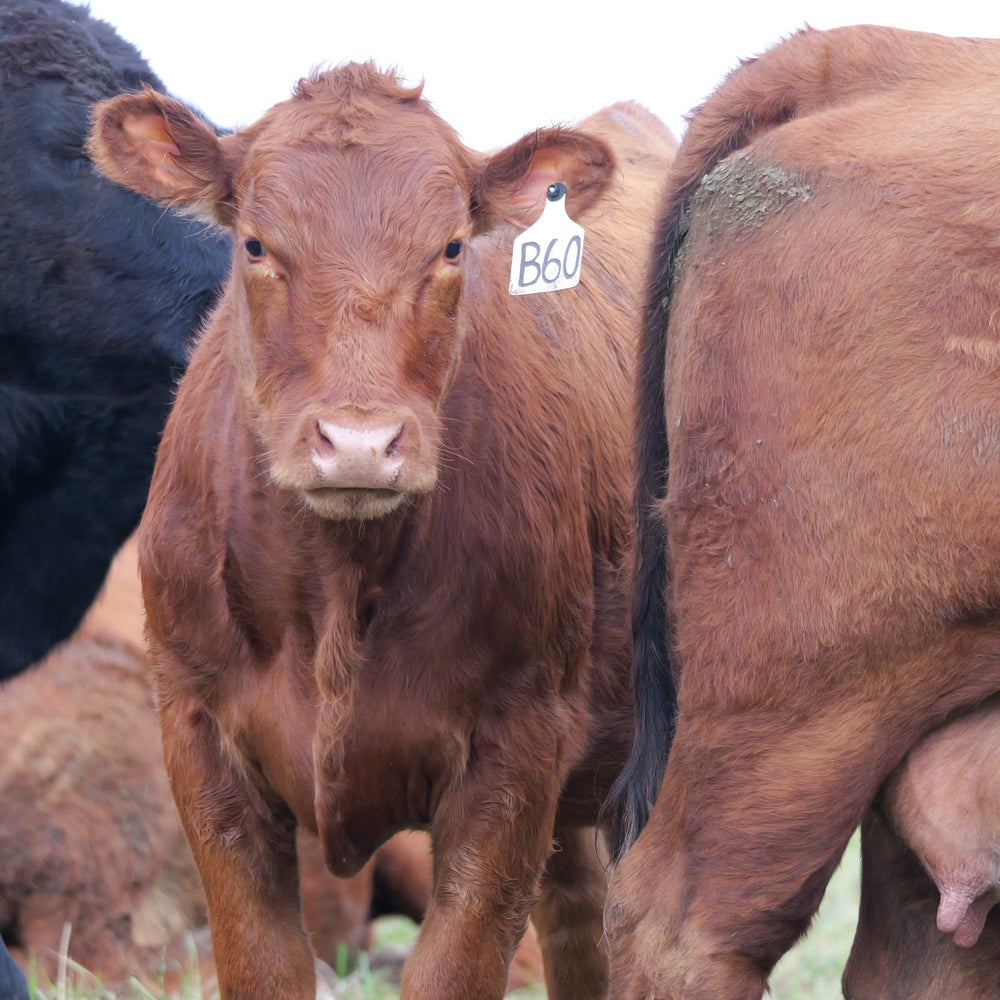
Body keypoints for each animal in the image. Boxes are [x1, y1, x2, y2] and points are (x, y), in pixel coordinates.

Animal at [87, 63, 675, 1000]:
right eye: (255, 244)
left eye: (450, 247)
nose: (359, 442)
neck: (333, 590)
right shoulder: (196, 732)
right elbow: (260, 964)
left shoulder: (516, 749)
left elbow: (453, 967)